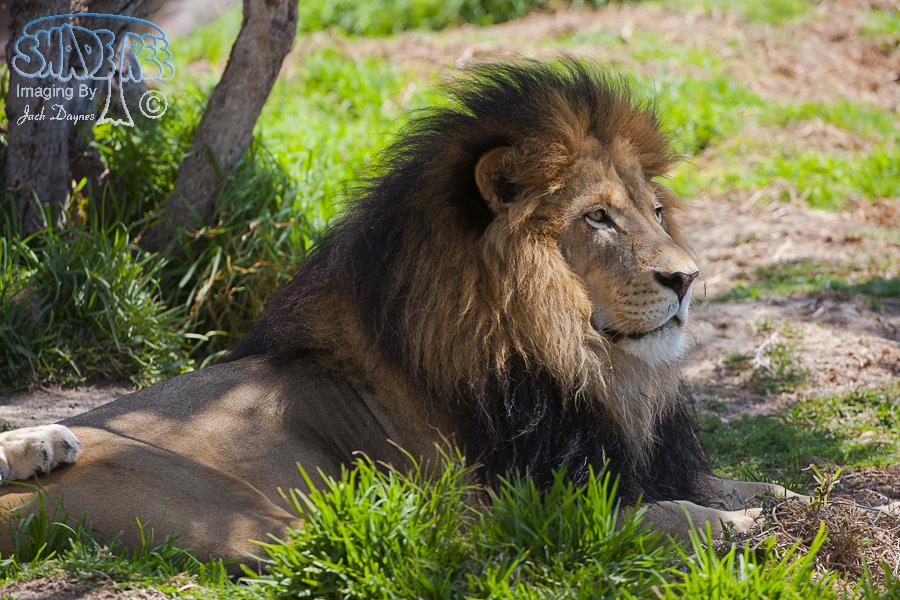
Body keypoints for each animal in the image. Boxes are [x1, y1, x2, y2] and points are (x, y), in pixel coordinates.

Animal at [0, 59, 804, 561]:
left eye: (655, 212)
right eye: (597, 218)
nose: (687, 278)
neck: (575, 362)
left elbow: (753, 481)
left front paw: (805, 502)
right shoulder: (516, 495)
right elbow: (655, 514)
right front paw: (740, 525)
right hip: (235, 509)